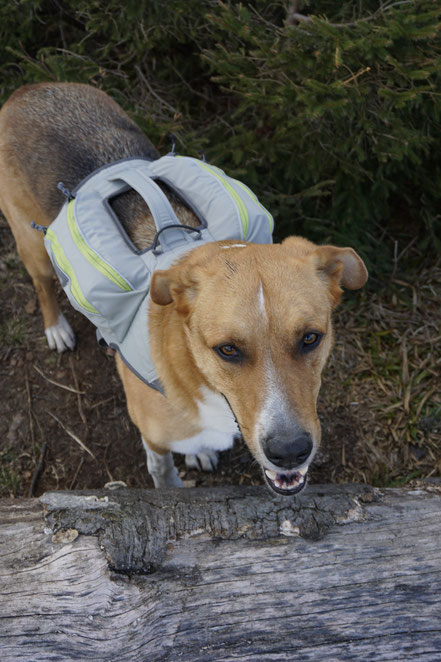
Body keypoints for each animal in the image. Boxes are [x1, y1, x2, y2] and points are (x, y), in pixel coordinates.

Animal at [0, 83, 368, 496]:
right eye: (227, 349)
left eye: (310, 338)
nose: (290, 451)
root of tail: (32, 88)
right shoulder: (155, 438)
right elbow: (163, 474)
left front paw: (201, 453)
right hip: (33, 245)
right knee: (42, 283)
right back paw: (56, 328)